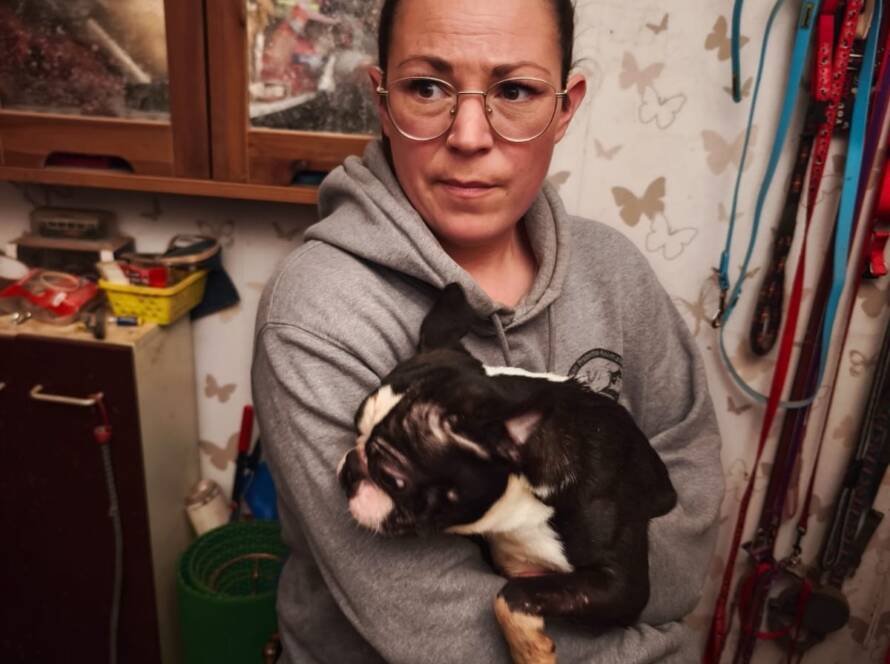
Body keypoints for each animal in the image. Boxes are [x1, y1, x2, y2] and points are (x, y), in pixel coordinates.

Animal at [337, 283, 677, 664]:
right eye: (355, 431)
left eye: (391, 478)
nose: (349, 469)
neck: (521, 510)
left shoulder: (621, 586)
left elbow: (511, 594)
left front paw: (530, 652)